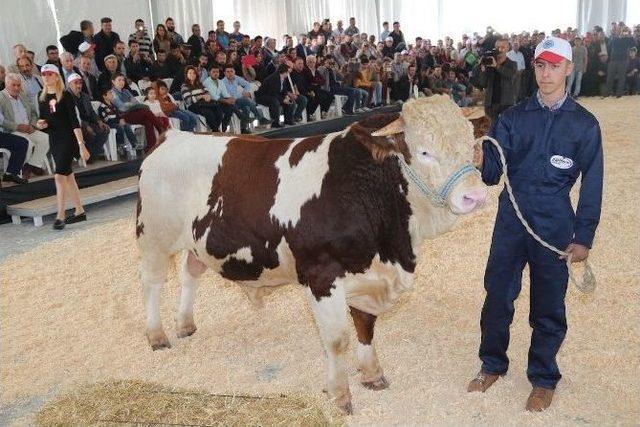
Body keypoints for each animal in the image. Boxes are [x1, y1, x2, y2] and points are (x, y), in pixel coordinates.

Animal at [135, 96, 484, 414]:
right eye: (424, 151)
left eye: (470, 142)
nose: (475, 195)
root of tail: (172, 136)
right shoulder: (322, 276)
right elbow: (337, 339)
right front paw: (340, 394)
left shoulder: (368, 274)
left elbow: (366, 325)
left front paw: (372, 374)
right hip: (153, 237)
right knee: (153, 283)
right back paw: (156, 335)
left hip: (197, 241)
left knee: (189, 273)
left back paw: (185, 323)